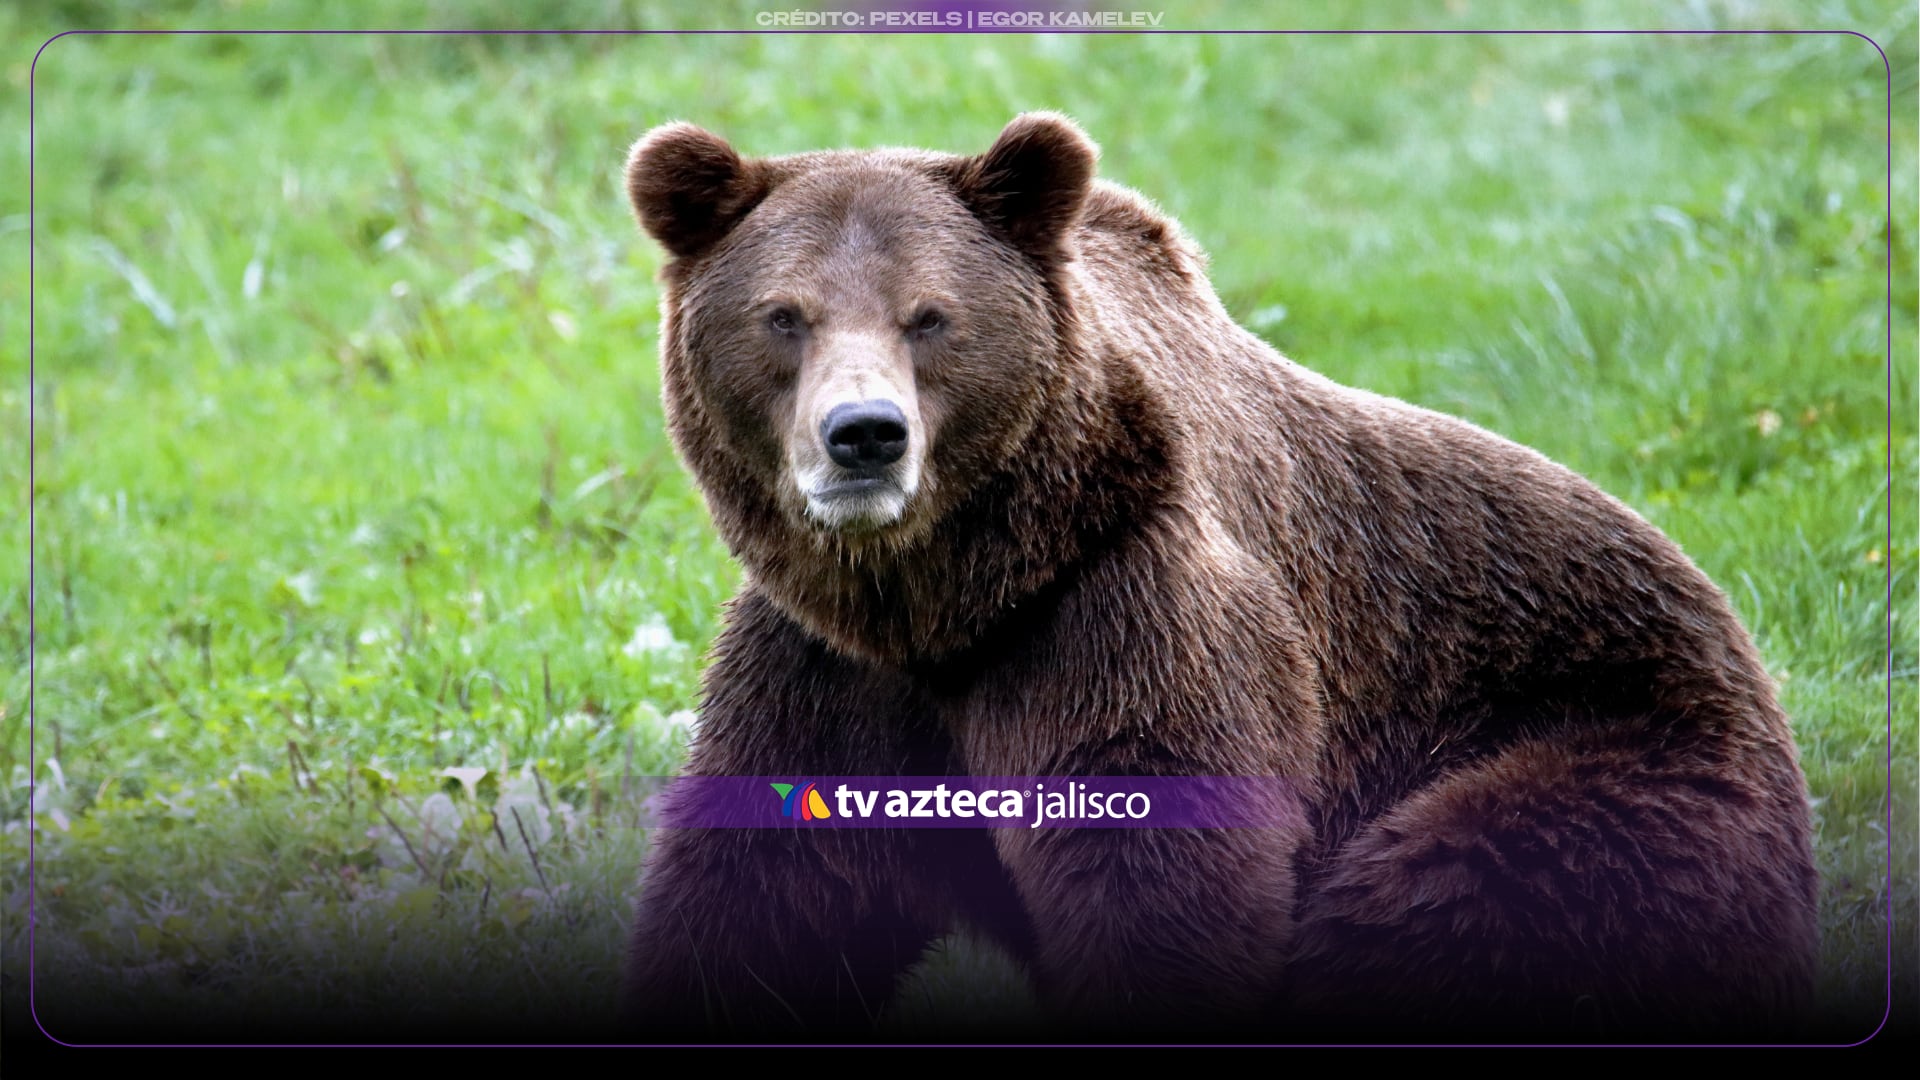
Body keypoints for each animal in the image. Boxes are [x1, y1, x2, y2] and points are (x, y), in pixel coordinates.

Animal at [617, 112, 1819, 1042]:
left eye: (931, 317)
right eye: (785, 315)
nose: (865, 436)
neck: (951, 599)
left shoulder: (1126, 611)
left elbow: (1158, 869)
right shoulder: (828, 667)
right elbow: (771, 889)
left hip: (1600, 758)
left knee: (1453, 895)